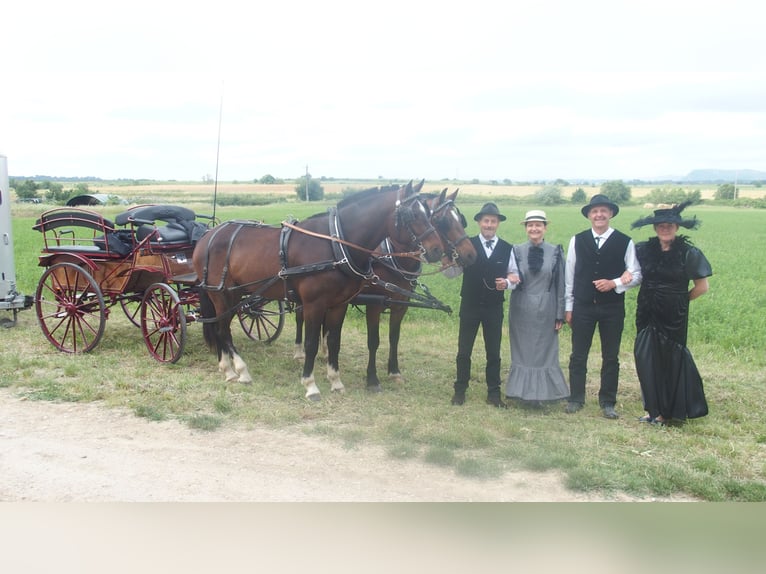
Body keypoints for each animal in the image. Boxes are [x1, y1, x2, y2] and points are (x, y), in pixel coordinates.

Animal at [192, 182, 444, 402]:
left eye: (430, 213)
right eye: (412, 215)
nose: (437, 250)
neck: (335, 245)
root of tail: (207, 237)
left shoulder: (339, 304)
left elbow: (333, 341)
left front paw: (335, 381)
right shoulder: (314, 304)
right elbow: (311, 343)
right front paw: (310, 385)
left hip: (235, 294)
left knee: (220, 328)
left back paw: (227, 369)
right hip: (221, 294)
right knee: (223, 330)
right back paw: (241, 371)